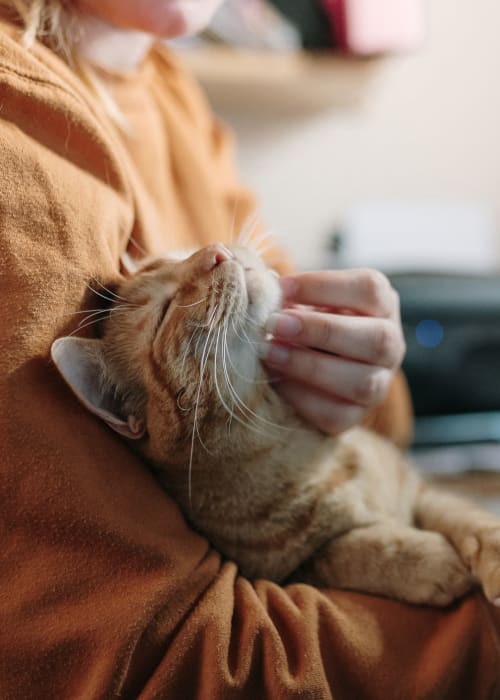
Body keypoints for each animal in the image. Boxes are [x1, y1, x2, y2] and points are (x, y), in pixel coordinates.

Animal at [50, 243, 500, 604]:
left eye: (181, 255)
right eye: (164, 310)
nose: (217, 251)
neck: (296, 449)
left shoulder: (420, 489)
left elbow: (469, 516)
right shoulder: (287, 570)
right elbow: (353, 550)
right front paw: (430, 561)